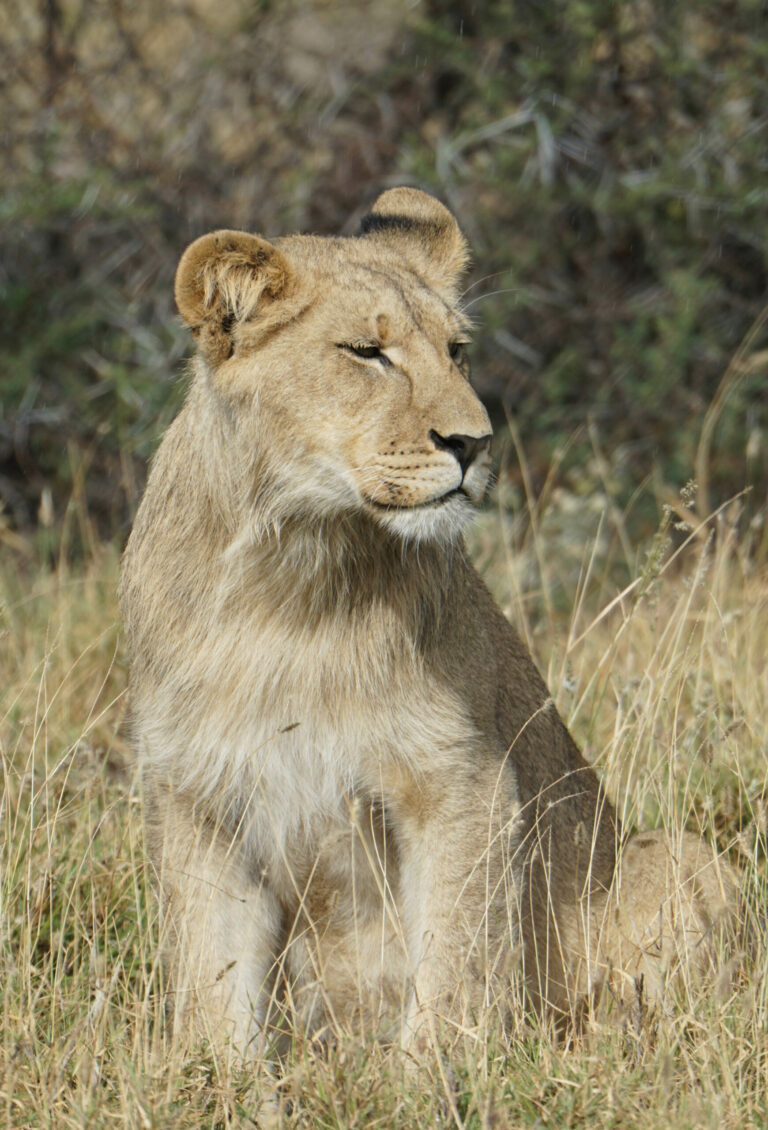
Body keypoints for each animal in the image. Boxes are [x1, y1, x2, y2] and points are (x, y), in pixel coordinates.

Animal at [119, 187, 736, 1057]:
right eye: (365, 353)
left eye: (457, 351)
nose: (474, 443)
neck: (290, 568)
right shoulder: (195, 794)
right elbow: (210, 973)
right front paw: (217, 1077)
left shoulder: (464, 778)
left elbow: (455, 956)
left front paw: (436, 1071)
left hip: (680, 852)